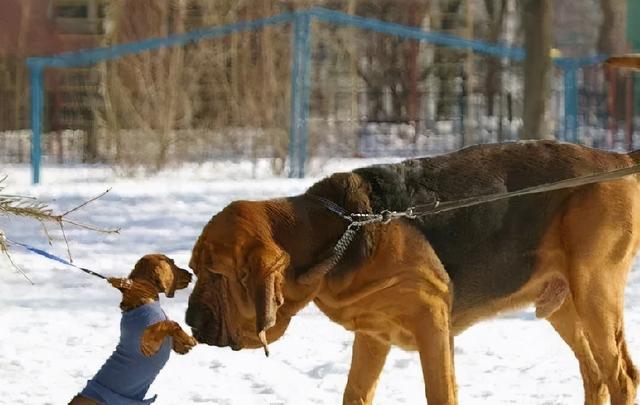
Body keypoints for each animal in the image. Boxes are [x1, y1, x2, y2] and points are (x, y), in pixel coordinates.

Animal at [67, 254, 198, 402]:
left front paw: (181, 345)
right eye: (172, 262)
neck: (141, 297)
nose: (190, 274)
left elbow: (170, 324)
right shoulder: (150, 340)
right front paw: (188, 340)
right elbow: (170, 323)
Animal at [185, 140, 640, 402]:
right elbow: (356, 394)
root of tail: (615, 157)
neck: (340, 233)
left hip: (594, 294)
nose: (189, 320)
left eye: (217, 273)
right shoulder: (372, 337)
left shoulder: (432, 324)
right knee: (596, 377)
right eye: (193, 269)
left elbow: (439, 392)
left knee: (620, 378)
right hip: (563, 306)